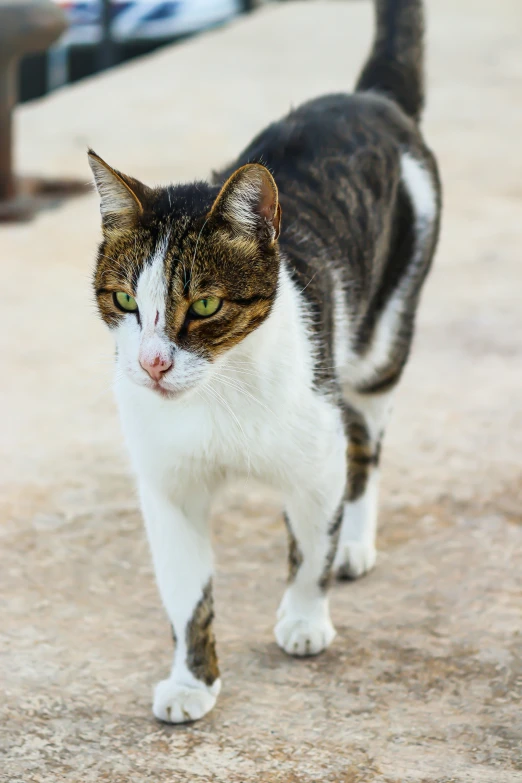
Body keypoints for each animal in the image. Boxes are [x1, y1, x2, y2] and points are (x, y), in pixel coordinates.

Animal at [88, 0, 438, 724]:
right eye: (126, 300)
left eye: (205, 304)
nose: (153, 364)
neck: (218, 391)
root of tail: (370, 97)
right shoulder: (169, 484)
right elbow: (186, 592)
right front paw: (192, 680)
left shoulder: (316, 452)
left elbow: (311, 547)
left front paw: (305, 617)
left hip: (379, 342)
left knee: (365, 447)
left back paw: (354, 540)